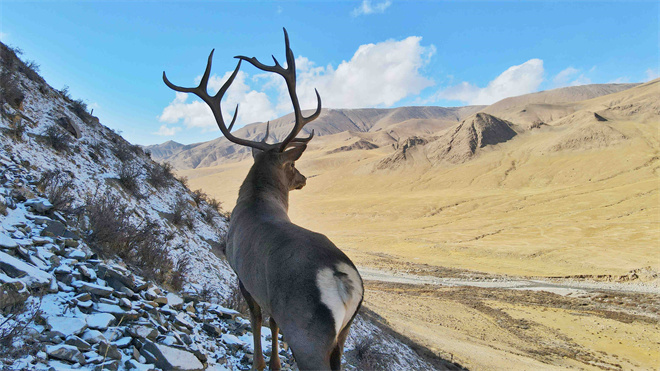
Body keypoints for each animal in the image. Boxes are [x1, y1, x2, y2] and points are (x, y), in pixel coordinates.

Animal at [162, 29, 364, 371]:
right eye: (293, 166)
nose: (304, 178)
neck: (256, 201)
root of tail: (342, 278)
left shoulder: (241, 273)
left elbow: (256, 319)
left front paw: (261, 362)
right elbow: (271, 323)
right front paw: (274, 362)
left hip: (307, 332)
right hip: (343, 334)